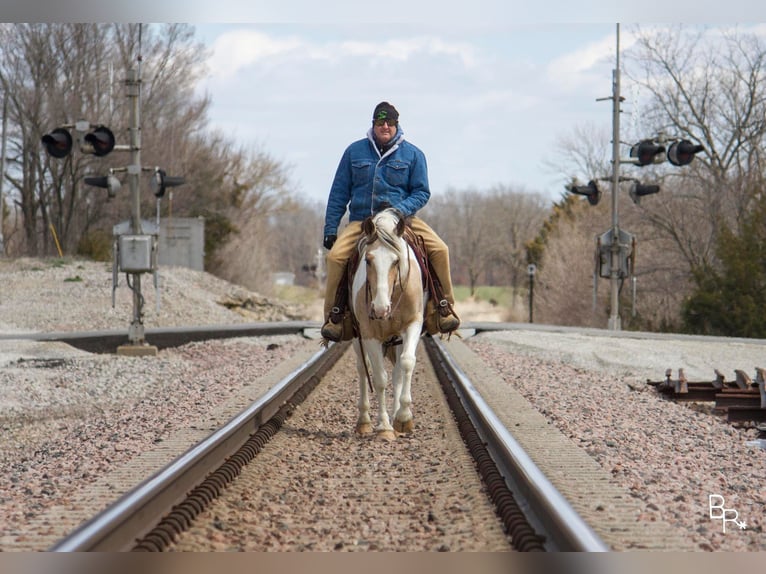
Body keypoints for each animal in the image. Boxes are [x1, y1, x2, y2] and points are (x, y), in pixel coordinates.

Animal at [352, 209, 428, 444]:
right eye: (368, 260)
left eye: (396, 261)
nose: (379, 309)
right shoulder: (369, 335)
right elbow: (379, 379)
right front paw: (384, 426)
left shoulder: (412, 325)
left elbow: (406, 364)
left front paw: (403, 418)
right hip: (357, 339)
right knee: (362, 368)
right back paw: (364, 421)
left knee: (397, 372)